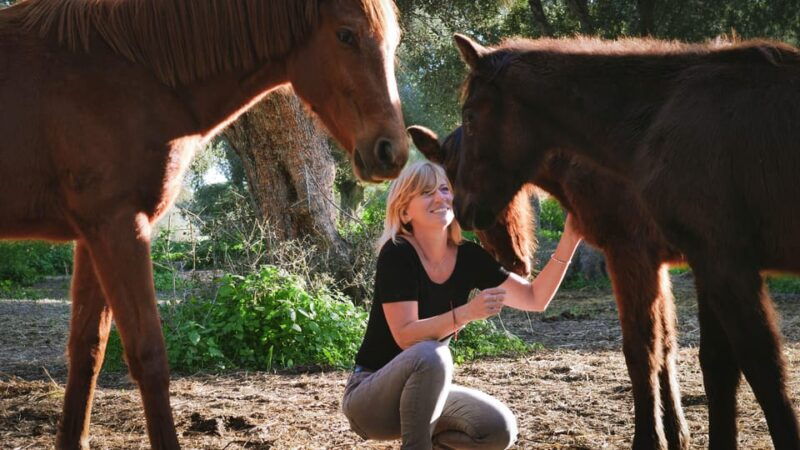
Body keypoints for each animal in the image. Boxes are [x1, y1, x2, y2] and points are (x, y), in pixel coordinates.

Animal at [0, 0, 408, 448]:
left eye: (395, 41)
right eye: (345, 35)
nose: (392, 151)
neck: (131, 69)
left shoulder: (92, 236)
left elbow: (87, 349)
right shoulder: (118, 226)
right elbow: (148, 354)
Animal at [409, 125, 688, 449]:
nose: (510, 262)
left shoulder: (630, 253)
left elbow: (641, 350)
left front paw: (650, 439)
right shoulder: (654, 262)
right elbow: (665, 343)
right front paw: (676, 433)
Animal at [449, 33, 800, 449]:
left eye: (471, 116)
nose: (464, 211)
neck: (655, 117)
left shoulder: (699, 261)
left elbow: (759, 369)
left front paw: (652, 438)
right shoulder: (704, 263)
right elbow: (715, 364)